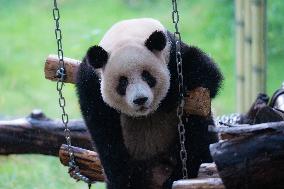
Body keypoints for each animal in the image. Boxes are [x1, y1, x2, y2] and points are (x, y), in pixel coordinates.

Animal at [76, 18, 223, 189]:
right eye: (123, 82)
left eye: (147, 76)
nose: (140, 99)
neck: (126, 33)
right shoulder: (91, 81)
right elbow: (103, 129)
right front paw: (123, 178)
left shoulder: (173, 52)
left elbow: (207, 72)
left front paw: (170, 96)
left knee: (198, 131)